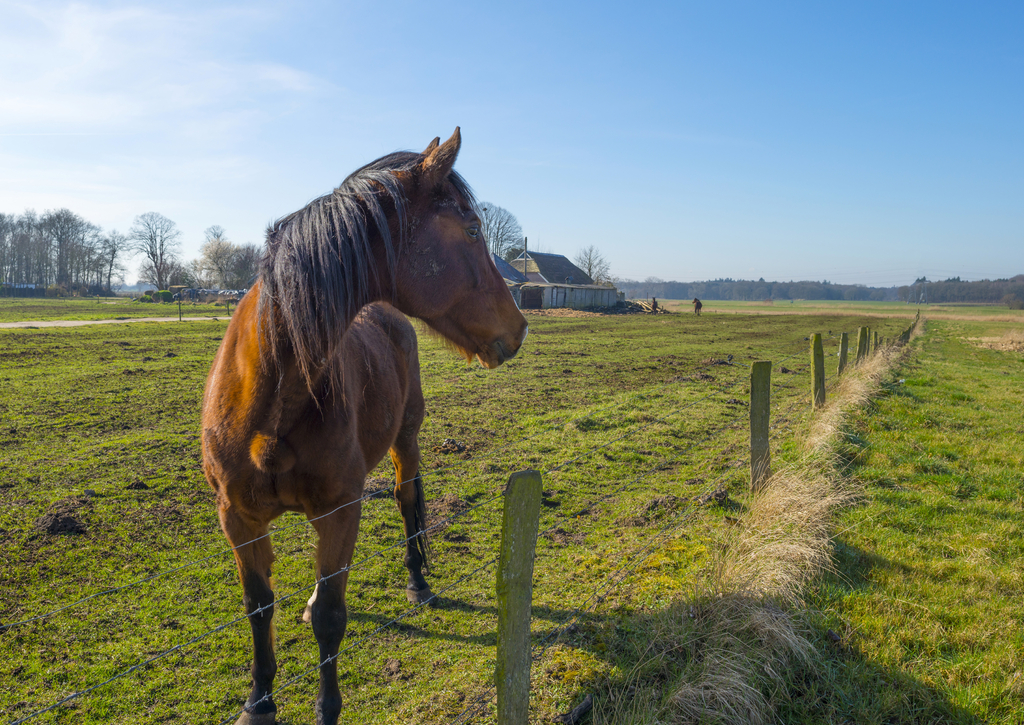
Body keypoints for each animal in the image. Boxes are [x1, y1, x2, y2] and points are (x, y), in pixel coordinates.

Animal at [201, 129, 528, 725]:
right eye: (472, 230)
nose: (518, 329)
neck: (273, 394)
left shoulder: (340, 511)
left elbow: (333, 618)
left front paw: (326, 709)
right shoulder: (238, 518)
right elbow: (258, 608)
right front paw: (258, 701)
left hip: (407, 439)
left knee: (407, 500)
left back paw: (418, 583)